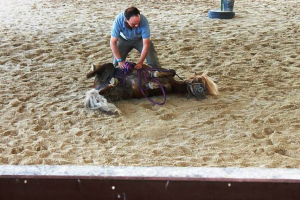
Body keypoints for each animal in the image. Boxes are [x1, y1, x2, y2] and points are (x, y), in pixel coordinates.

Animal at [84, 61, 218, 113]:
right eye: (200, 80)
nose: (201, 89)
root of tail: (98, 86)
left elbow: (164, 85)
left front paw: (152, 84)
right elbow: (170, 71)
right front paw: (154, 77)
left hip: (120, 93)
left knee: (104, 91)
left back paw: (112, 82)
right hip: (108, 68)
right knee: (95, 72)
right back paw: (95, 71)